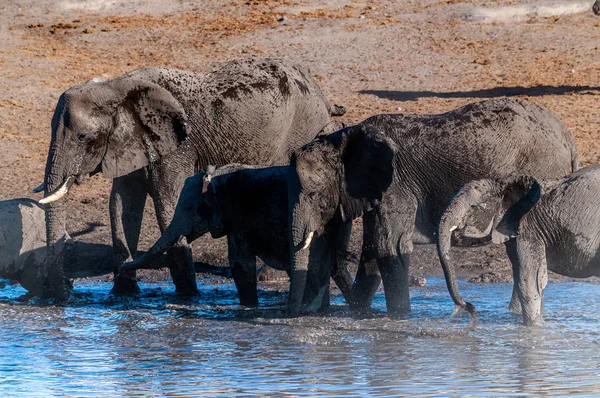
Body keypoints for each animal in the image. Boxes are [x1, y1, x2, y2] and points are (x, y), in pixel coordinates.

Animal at [36, 55, 346, 298]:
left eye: (83, 137)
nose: (66, 290)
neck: (116, 88)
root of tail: (320, 92)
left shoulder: (177, 147)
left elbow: (167, 203)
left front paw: (189, 297)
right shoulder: (129, 143)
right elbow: (122, 205)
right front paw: (123, 295)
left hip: (301, 131)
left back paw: (269, 277)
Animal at [122, 163, 356, 310]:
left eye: (190, 208)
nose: (123, 265)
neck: (217, 174)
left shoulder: (238, 216)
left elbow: (240, 264)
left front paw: (248, 307)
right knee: (333, 266)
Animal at [436, 166, 600, 324]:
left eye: (473, 207)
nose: (468, 306)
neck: (503, 183)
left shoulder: (529, 228)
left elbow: (529, 282)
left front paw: (535, 327)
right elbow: (521, 278)